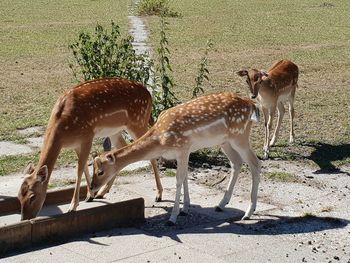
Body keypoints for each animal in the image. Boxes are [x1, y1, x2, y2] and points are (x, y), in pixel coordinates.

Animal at [17, 78, 163, 221]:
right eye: (18, 196)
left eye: (32, 196)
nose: (25, 218)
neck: (63, 131)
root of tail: (149, 95)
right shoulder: (76, 144)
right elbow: (85, 167)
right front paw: (90, 195)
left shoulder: (87, 135)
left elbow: (79, 169)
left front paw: (72, 206)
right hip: (115, 130)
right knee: (120, 149)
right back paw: (102, 192)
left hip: (138, 121)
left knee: (150, 152)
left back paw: (159, 195)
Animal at [91, 92, 262, 226]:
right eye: (92, 168)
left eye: (100, 171)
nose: (91, 189)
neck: (161, 140)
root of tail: (252, 105)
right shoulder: (184, 152)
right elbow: (185, 177)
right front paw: (184, 209)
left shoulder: (183, 148)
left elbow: (179, 180)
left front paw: (172, 218)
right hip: (224, 141)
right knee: (236, 162)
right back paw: (221, 205)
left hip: (240, 136)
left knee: (255, 163)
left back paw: (248, 213)